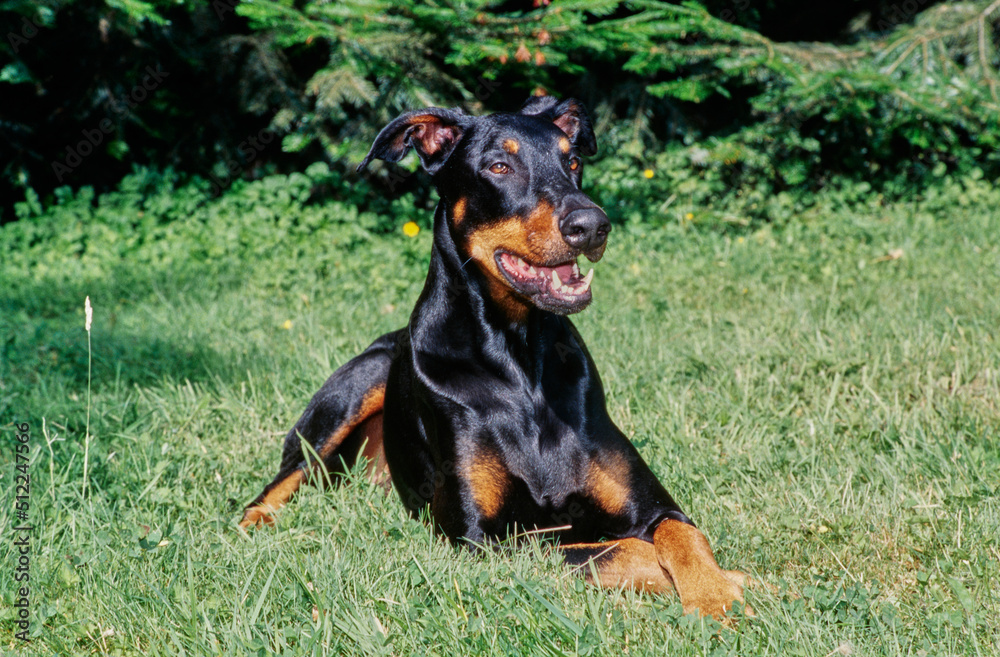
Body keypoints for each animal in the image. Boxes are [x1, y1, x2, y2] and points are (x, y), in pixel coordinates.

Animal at [242, 95, 752, 616]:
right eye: (499, 166)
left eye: (573, 161)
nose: (592, 225)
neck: (519, 361)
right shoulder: (479, 537)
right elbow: (608, 550)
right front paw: (733, 586)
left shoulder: (652, 505)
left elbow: (680, 533)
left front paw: (717, 591)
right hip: (354, 388)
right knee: (280, 480)